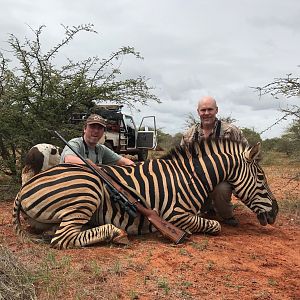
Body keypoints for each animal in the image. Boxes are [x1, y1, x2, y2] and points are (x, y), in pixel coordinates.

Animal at [12, 138, 278, 248]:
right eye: (261, 178)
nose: (276, 211)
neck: (190, 177)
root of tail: (25, 187)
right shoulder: (175, 215)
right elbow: (214, 225)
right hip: (88, 190)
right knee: (63, 238)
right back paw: (116, 233)